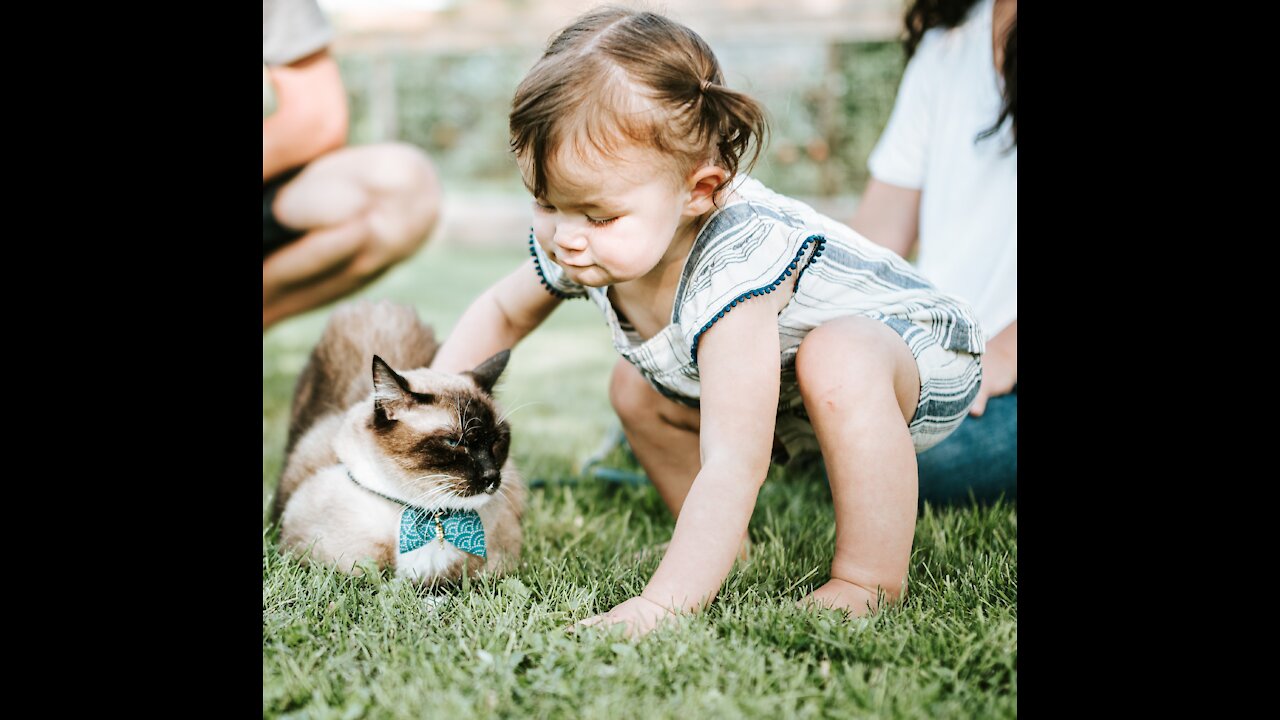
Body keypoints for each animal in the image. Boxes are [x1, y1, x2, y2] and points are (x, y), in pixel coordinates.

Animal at [275, 298, 524, 584]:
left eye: (497, 440)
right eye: (454, 443)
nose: (491, 476)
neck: (430, 519)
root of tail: (377, 305)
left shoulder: (496, 569)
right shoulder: (326, 566)